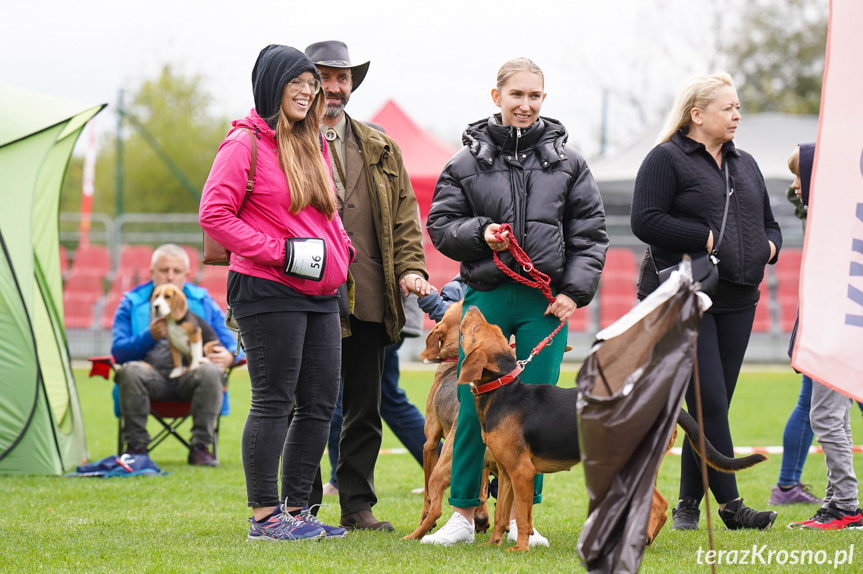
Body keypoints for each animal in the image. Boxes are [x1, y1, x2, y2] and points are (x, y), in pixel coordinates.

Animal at [456, 306, 768, 552]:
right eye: (488, 327)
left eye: (475, 327)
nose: (471, 306)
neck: (504, 392)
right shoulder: (507, 472)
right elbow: (501, 514)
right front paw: (492, 545)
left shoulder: (522, 472)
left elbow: (522, 517)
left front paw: (520, 549)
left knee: (660, 505)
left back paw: (641, 541)